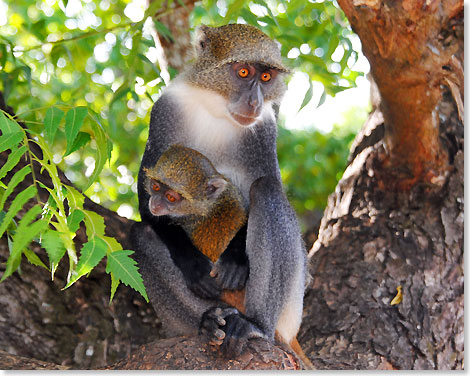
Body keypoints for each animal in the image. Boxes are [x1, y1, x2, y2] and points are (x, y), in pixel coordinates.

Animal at [130, 23, 306, 358]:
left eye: (266, 77)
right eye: (243, 71)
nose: (255, 102)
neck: (216, 107)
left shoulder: (264, 129)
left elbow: (266, 183)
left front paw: (236, 259)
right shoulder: (165, 111)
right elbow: (146, 201)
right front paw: (193, 265)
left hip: (291, 307)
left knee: (267, 191)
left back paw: (254, 325)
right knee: (142, 236)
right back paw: (208, 322)